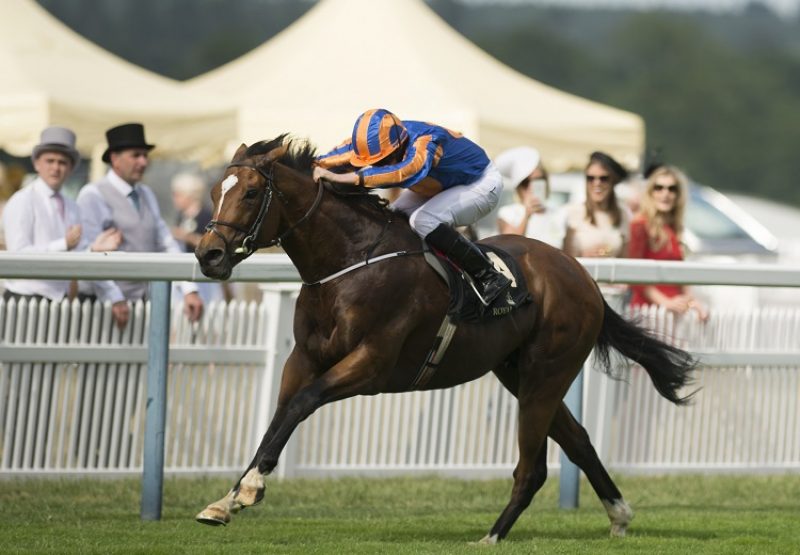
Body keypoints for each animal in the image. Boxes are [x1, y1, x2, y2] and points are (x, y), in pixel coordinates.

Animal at [194, 135, 692, 544]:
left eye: (251, 193)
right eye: (216, 192)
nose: (208, 255)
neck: (349, 262)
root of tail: (582, 275)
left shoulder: (371, 365)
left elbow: (300, 405)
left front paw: (249, 489)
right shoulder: (302, 359)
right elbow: (278, 417)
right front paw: (226, 500)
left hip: (546, 374)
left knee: (533, 467)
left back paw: (492, 536)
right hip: (518, 372)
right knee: (580, 441)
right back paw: (618, 515)